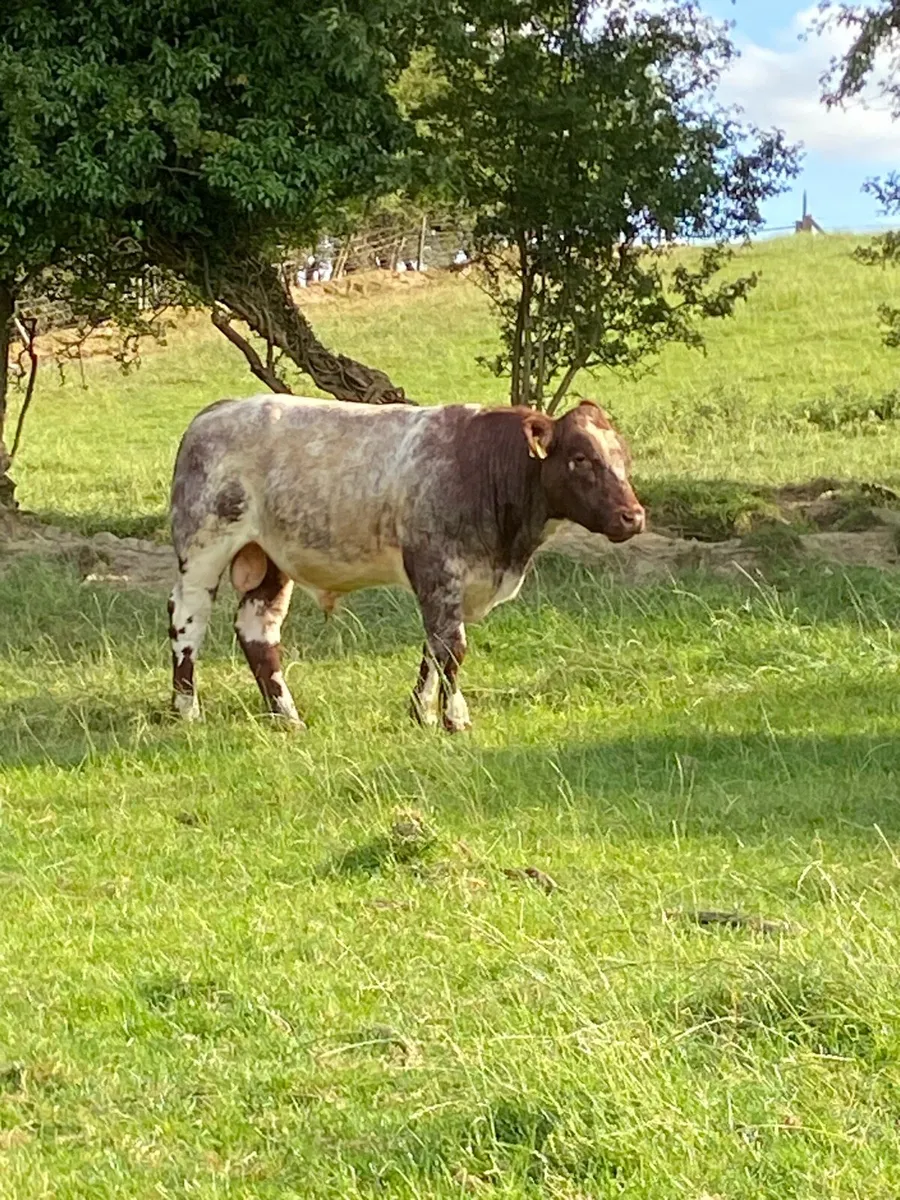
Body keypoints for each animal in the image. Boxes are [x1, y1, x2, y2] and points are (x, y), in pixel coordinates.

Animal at [167, 396, 645, 732]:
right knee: (188, 620)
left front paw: (423, 714)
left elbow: (435, 646)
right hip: (203, 546)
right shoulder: (437, 567)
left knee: (258, 630)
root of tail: (217, 410)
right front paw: (453, 719)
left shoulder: (449, 586)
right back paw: (186, 711)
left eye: (624, 458)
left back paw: (287, 717)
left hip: (270, 559)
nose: (633, 516)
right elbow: (451, 647)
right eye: (580, 459)